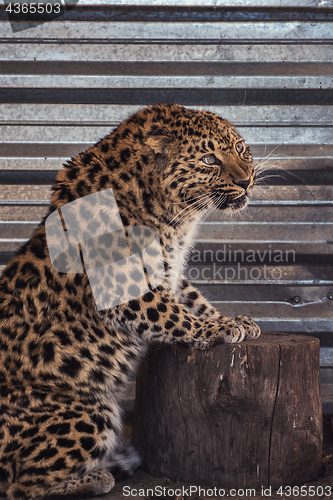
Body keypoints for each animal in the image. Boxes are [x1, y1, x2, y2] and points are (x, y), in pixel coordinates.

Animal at [0, 102, 260, 500]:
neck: (171, 212)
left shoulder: (169, 272)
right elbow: (173, 315)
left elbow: (191, 298)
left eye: (241, 150)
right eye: (209, 159)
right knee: (22, 486)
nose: (247, 180)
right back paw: (97, 477)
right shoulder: (125, 283)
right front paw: (217, 329)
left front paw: (233, 320)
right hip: (91, 409)